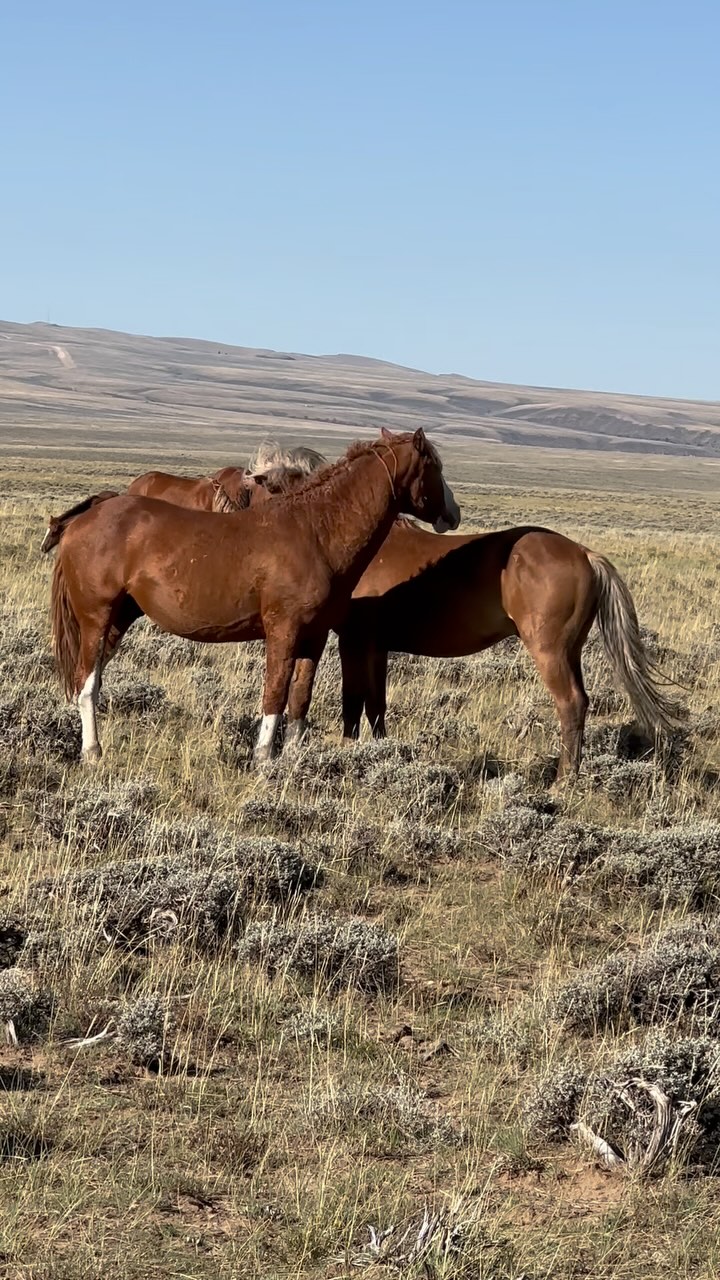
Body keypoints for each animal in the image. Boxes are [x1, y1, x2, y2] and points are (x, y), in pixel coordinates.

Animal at [50, 428, 460, 766]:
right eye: (434, 466)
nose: (453, 514)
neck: (315, 531)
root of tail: (85, 517)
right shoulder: (283, 631)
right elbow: (274, 694)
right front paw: (263, 759)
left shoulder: (314, 636)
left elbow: (299, 699)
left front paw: (292, 758)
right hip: (96, 618)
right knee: (87, 685)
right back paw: (93, 753)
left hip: (120, 618)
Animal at [331, 519, 681, 780]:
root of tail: (584, 554)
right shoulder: (376, 648)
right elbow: (376, 706)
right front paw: (382, 754)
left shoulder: (353, 642)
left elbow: (352, 702)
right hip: (571, 651)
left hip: (549, 653)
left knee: (571, 703)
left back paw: (563, 782)